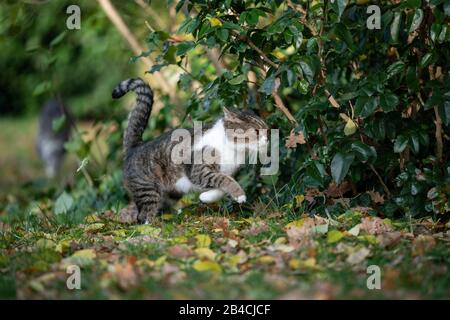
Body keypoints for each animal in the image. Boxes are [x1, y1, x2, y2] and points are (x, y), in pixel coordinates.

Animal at [112, 78, 268, 222]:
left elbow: (222, 185)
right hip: (148, 189)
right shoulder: (199, 171)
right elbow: (223, 179)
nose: (267, 139)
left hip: (169, 194)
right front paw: (239, 194)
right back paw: (152, 227)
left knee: (133, 209)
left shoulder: (226, 172)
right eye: (256, 131)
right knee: (144, 215)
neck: (233, 149)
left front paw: (205, 197)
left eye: (266, 129)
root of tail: (135, 146)